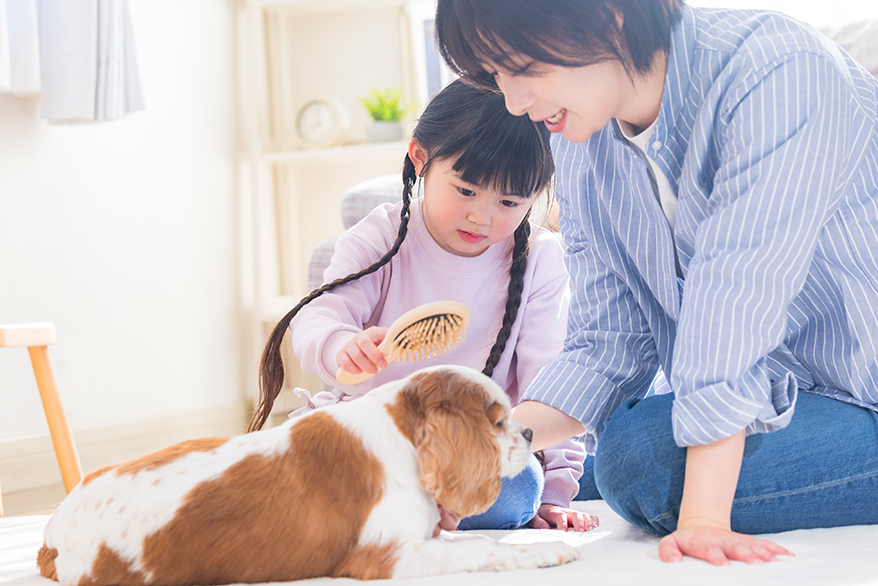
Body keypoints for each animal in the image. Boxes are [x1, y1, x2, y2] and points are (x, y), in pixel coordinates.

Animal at [37, 362, 580, 580]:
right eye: (497, 421)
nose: (530, 432)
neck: (404, 436)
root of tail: (50, 533)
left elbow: (476, 540)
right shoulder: (386, 559)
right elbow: (485, 548)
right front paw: (547, 551)